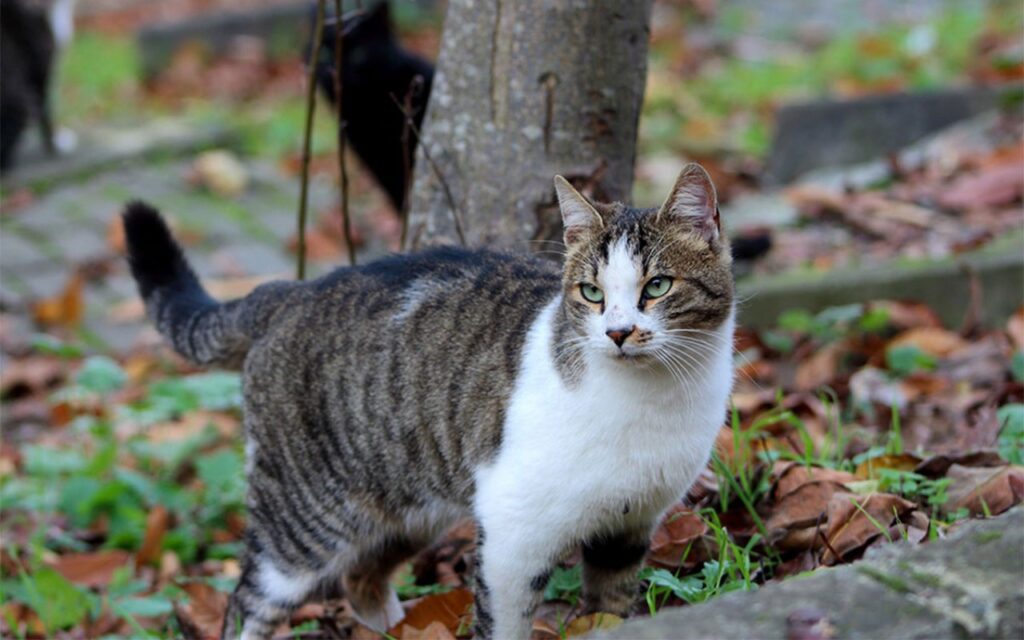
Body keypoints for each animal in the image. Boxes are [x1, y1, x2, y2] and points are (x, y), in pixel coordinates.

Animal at [123, 161, 737, 634]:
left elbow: (610, 609)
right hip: (299, 522)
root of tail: (291, 290)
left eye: (657, 286)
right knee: (248, 603)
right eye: (591, 293)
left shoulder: (628, 528)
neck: (652, 402)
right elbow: (505, 624)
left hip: (407, 507)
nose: (618, 332)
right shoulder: (513, 534)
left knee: (360, 579)